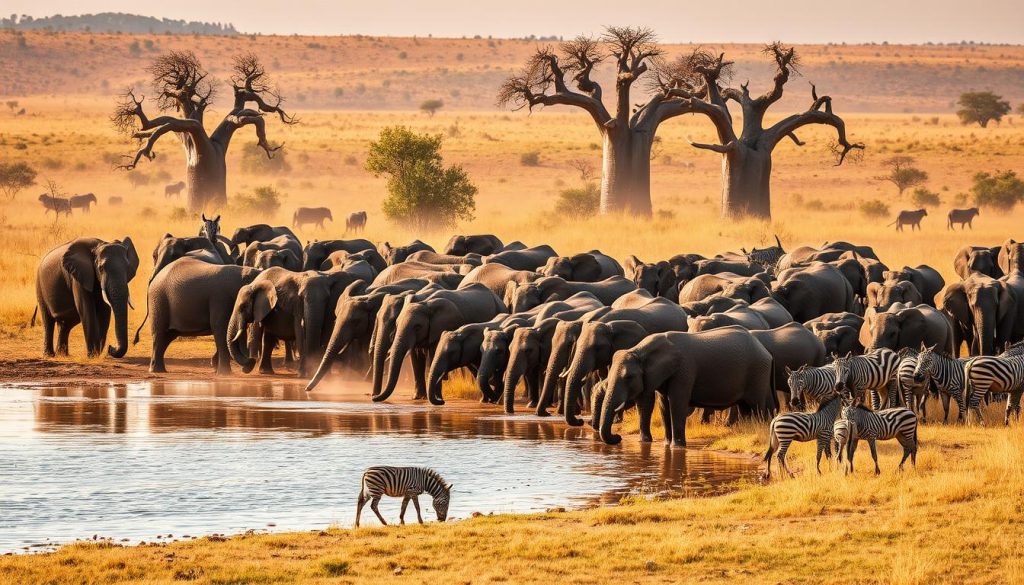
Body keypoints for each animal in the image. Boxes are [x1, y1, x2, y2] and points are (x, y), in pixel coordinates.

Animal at [227, 268, 360, 376]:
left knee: (269, 338)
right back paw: (265, 372)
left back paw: (265, 371)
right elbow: (300, 334)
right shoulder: (292, 305)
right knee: (267, 338)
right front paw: (304, 375)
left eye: (327, 298)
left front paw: (320, 375)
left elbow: (325, 332)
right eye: (301, 297)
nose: (247, 366)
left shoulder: (330, 306)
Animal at [374, 283, 506, 403]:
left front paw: (435, 398)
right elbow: (416, 360)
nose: (374, 396)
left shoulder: (441, 327)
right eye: (396, 323)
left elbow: (432, 357)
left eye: (417, 327)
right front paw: (418, 398)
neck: (424, 301)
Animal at [598, 327, 774, 446]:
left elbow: (677, 403)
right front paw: (666, 445)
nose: (618, 437)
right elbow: (662, 405)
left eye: (628, 377)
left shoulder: (684, 371)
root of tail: (767, 352)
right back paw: (748, 431)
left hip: (758, 372)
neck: (639, 350)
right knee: (746, 408)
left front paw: (677, 447)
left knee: (756, 405)